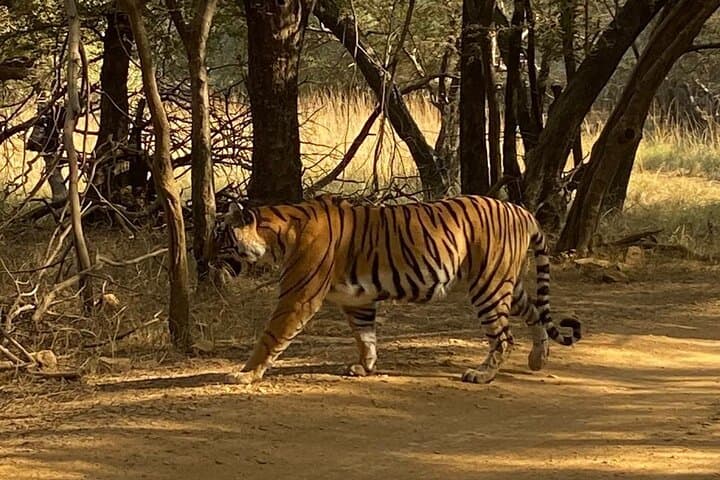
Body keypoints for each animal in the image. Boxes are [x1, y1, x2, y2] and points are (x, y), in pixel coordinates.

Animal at [212, 194, 581, 385]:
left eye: (222, 243)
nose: (205, 260)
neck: (277, 234)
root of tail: (520, 209)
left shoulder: (298, 296)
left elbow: (271, 336)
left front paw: (245, 374)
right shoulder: (357, 300)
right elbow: (365, 337)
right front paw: (364, 368)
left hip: (489, 286)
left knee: (504, 336)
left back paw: (482, 374)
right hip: (506, 283)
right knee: (535, 314)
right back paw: (538, 359)